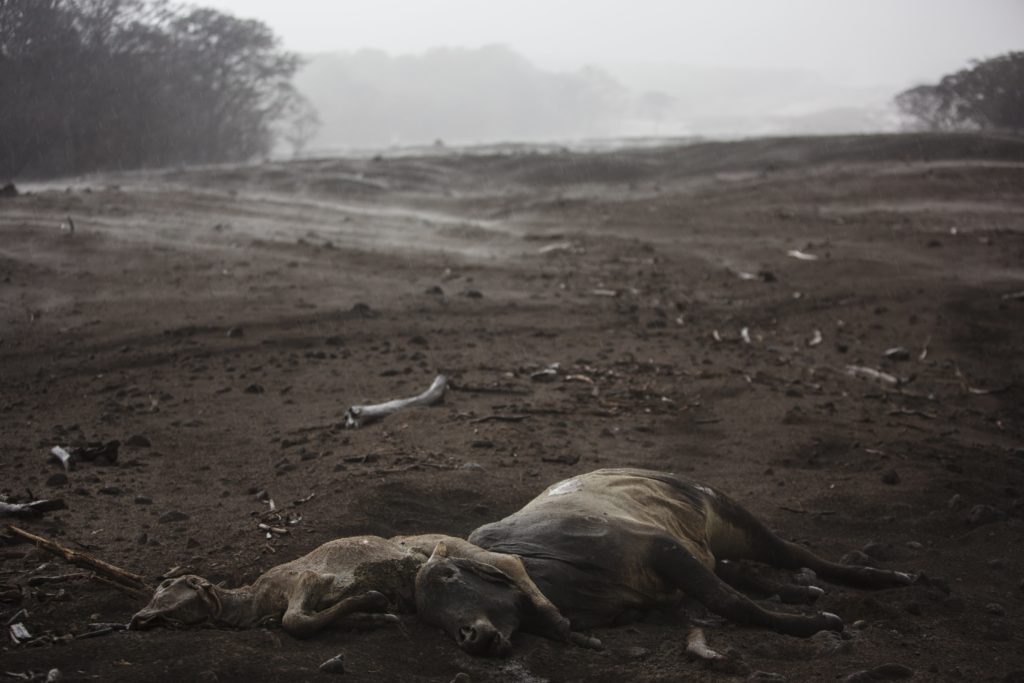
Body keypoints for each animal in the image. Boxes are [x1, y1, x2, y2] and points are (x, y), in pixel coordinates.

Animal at [415, 466, 913, 655]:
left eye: (449, 575)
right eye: (430, 615)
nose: (468, 635)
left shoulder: (660, 548)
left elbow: (732, 603)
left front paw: (817, 624)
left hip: (730, 515)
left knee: (793, 553)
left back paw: (882, 576)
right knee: (739, 570)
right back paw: (799, 590)